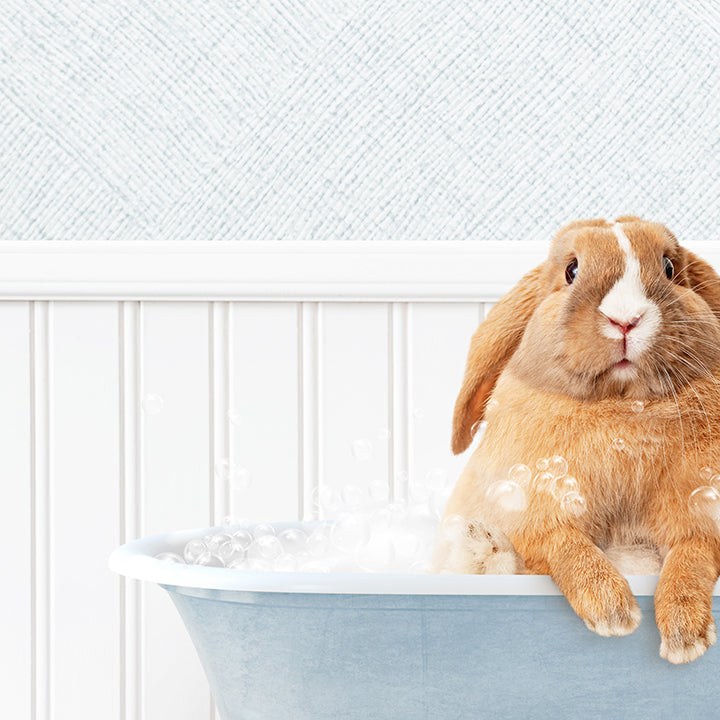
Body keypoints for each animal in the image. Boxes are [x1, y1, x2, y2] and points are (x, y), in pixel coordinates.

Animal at [434, 215, 720, 664]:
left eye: (670, 268)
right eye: (571, 270)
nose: (625, 320)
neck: (623, 408)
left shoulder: (701, 515)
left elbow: (692, 557)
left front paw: (684, 637)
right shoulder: (536, 511)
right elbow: (565, 545)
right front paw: (614, 613)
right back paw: (482, 544)